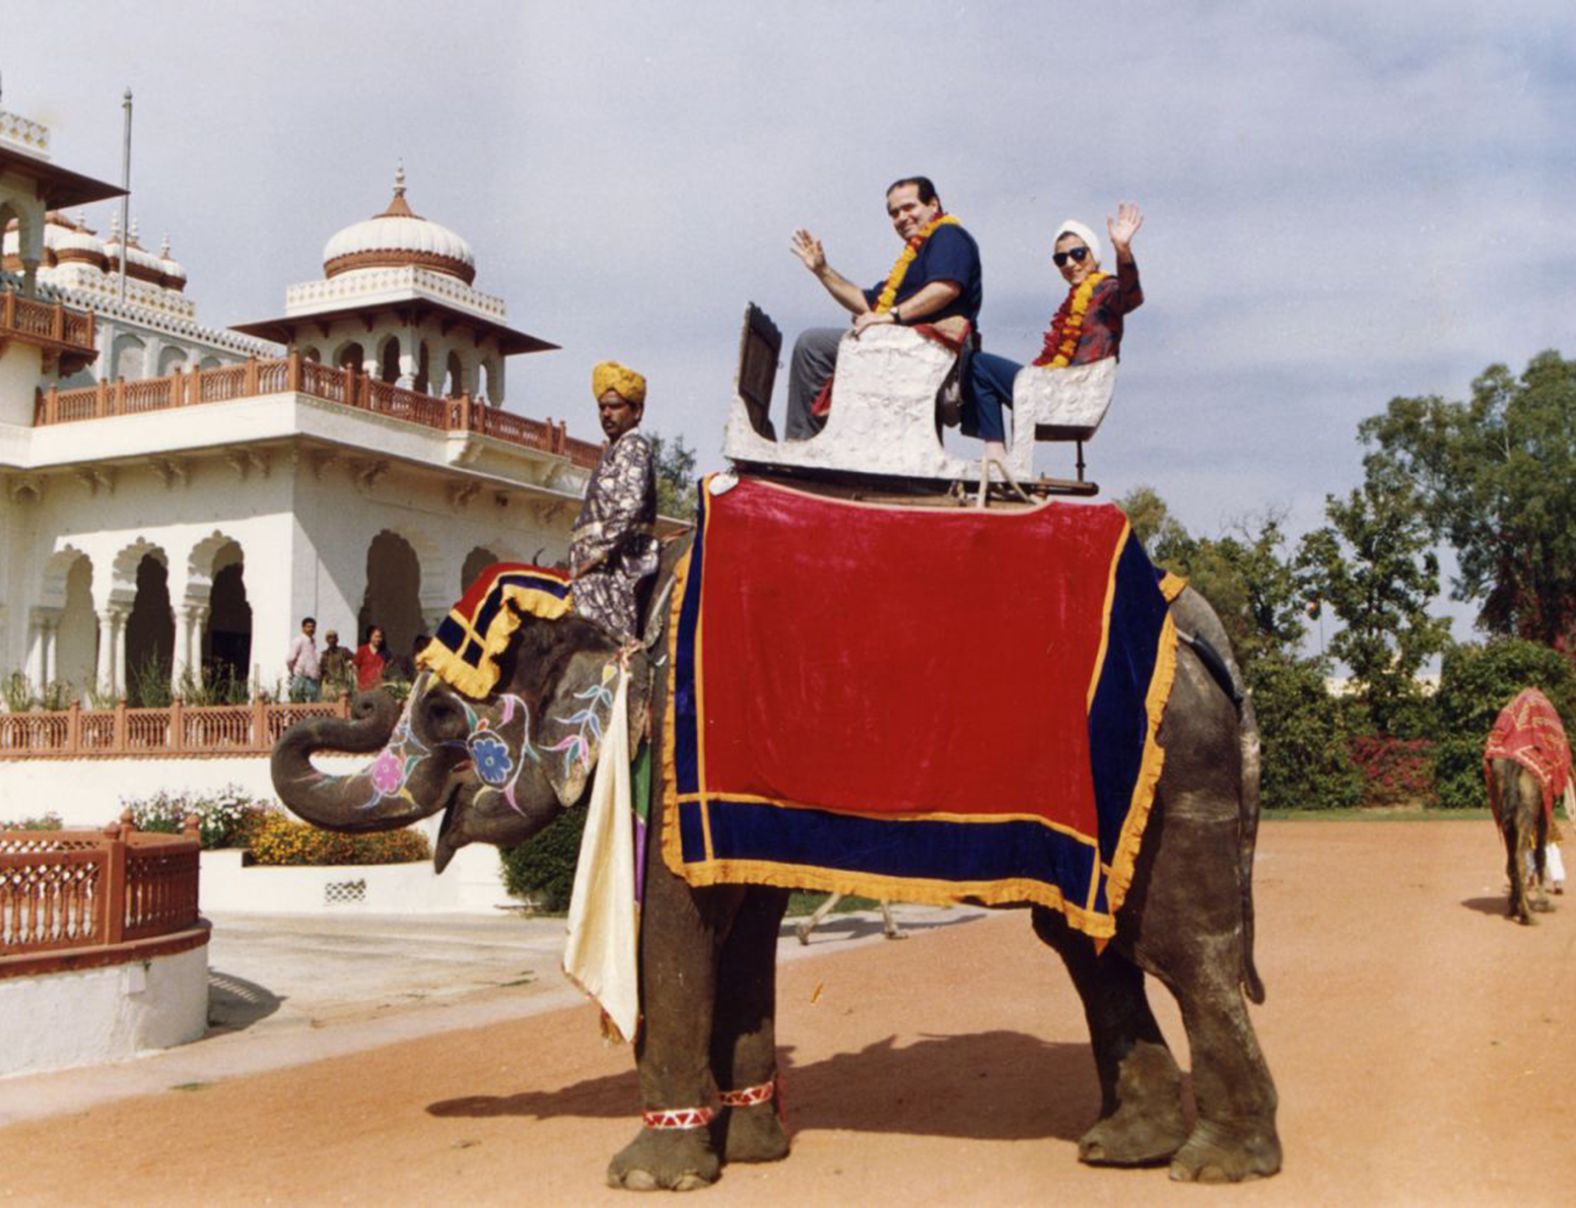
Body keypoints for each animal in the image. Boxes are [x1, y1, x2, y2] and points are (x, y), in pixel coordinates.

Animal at [271, 488, 1279, 1192]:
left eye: (443, 712)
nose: (352, 691)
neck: (630, 605)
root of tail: (1194, 620)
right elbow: (744, 936)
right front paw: (753, 1150)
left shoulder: (669, 760)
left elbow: (667, 935)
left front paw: (648, 1176)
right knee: (1089, 945)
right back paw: (1123, 1148)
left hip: (1170, 774)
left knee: (1180, 946)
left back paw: (1215, 1165)